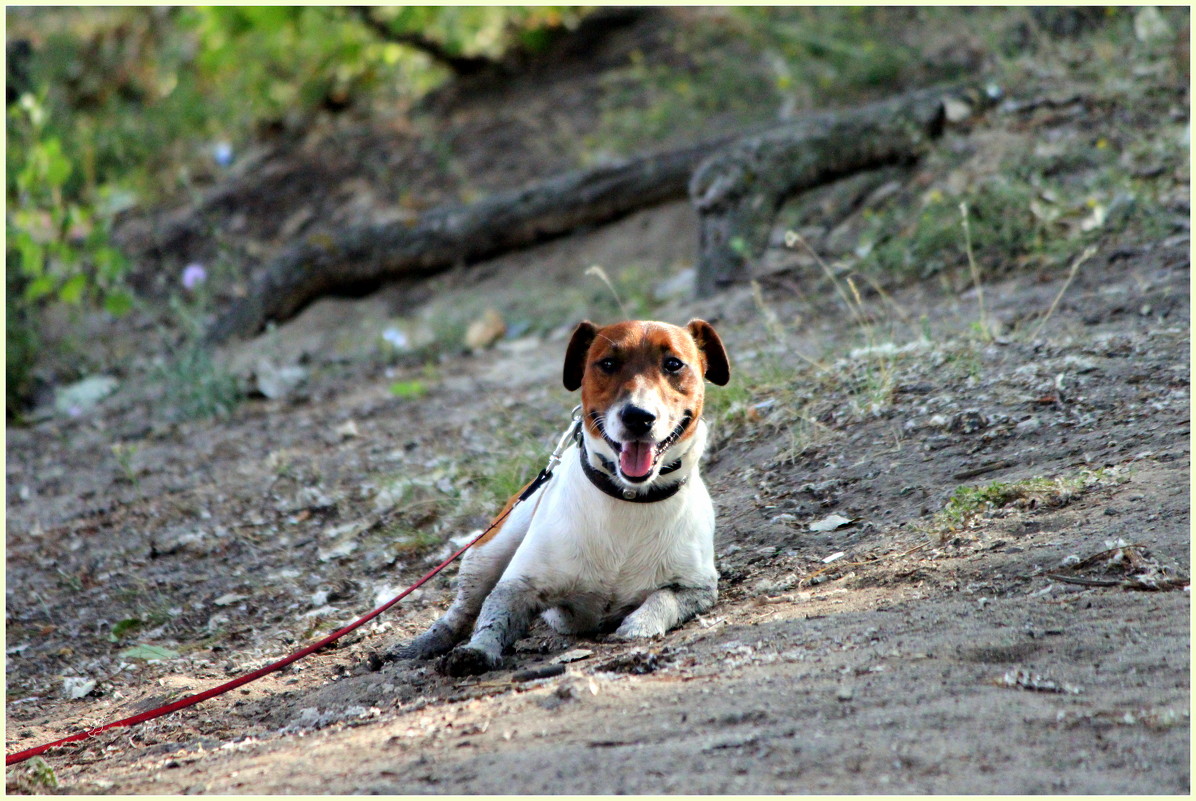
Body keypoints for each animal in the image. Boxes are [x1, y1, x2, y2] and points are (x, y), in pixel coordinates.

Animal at [392, 320, 727, 679]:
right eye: (608, 363)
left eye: (673, 364)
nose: (638, 416)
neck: (628, 498)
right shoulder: (519, 584)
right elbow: (493, 617)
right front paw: (477, 651)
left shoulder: (698, 587)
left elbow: (664, 598)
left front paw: (640, 624)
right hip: (487, 552)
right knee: (463, 609)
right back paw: (424, 643)